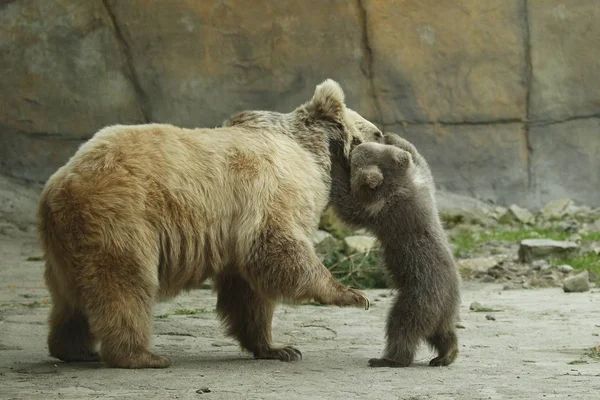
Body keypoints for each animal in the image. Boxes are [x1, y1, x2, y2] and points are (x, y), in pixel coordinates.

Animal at [38, 79, 380, 368]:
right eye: (375, 132)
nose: (383, 134)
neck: (313, 153)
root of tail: (61, 184)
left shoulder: (237, 230)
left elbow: (247, 293)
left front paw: (277, 347)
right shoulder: (270, 191)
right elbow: (277, 246)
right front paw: (352, 294)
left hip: (68, 240)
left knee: (70, 298)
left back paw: (75, 349)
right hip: (123, 216)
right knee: (125, 286)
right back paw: (141, 355)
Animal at [330, 135, 462, 368]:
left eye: (356, 156)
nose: (354, 145)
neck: (400, 184)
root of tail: (448, 302)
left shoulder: (382, 211)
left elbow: (349, 206)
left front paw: (334, 158)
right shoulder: (422, 184)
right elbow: (421, 162)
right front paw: (394, 137)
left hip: (419, 297)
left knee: (402, 326)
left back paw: (388, 358)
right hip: (441, 310)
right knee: (442, 333)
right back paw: (445, 355)